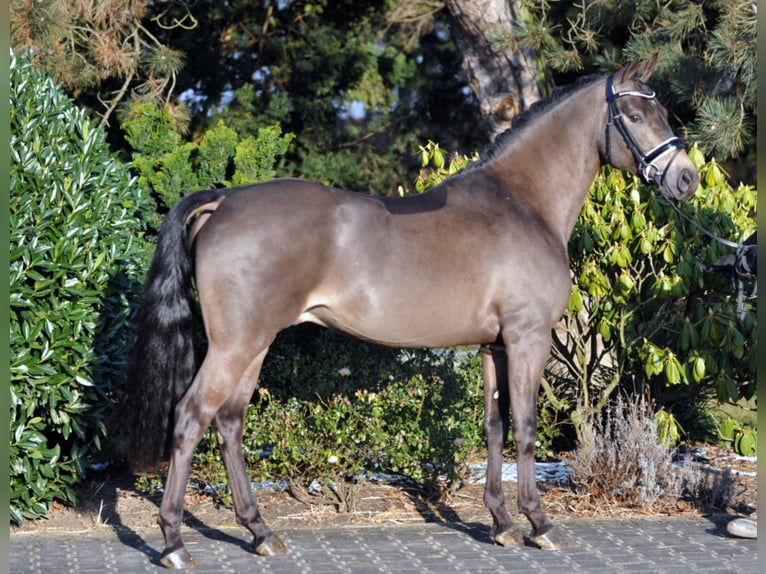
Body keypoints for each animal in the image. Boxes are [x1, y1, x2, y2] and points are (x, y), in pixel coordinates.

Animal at [127, 55, 698, 569]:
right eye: (636, 115)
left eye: (663, 112)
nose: (687, 179)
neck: (521, 202)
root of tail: (223, 202)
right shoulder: (528, 339)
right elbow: (526, 427)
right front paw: (538, 524)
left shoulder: (494, 345)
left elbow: (494, 426)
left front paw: (501, 523)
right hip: (236, 345)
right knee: (191, 417)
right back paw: (174, 543)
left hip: (254, 344)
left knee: (229, 423)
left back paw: (260, 532)